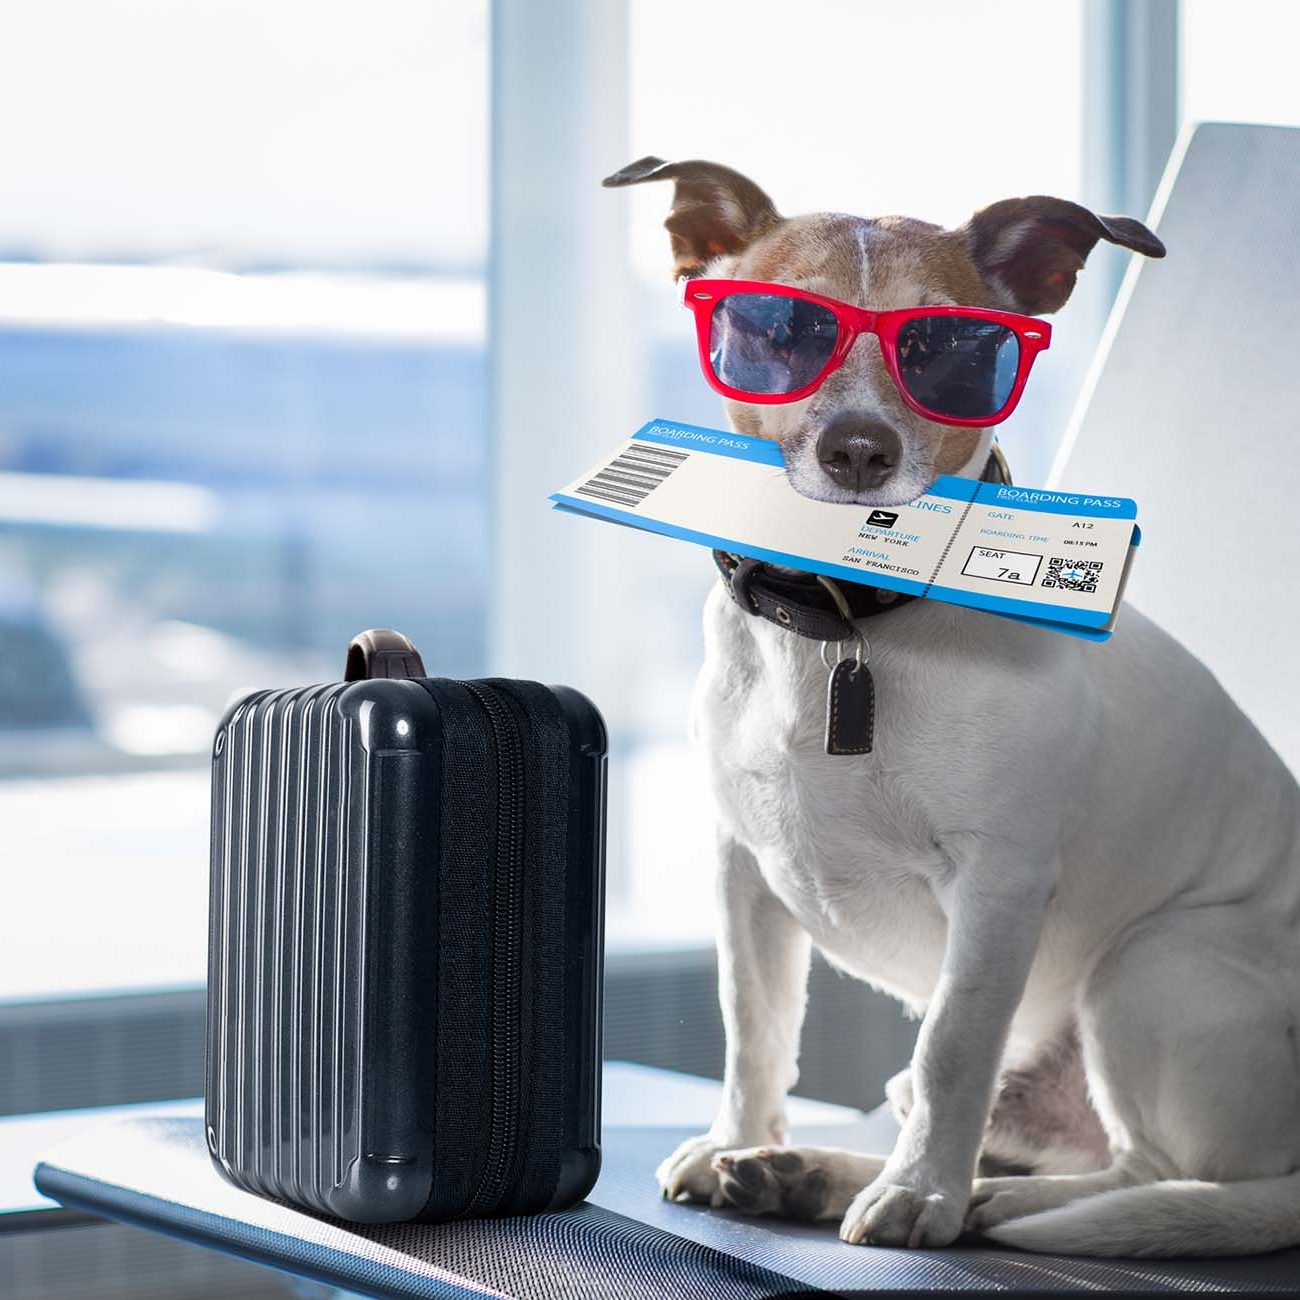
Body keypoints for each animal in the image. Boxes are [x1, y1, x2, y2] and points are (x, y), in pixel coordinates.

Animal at [600, 157, 1300, 1253]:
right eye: (780, 330)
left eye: (953, 349)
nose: (858, 449)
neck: (843, 626)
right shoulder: (741, 873)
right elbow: (753, 1027)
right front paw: (736, 1140)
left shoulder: (996, 888)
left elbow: (952, 1048)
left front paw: (922, 1195)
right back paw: (810, 1172)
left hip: (1154, 962)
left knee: (1150, 1172)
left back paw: (984, 1203)